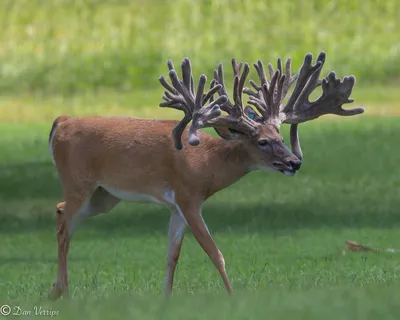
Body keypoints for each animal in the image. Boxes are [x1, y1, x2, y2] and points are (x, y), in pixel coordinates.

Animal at [46, 50, 362, 300]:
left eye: (281, 136)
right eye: (262, 141)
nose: (294, 162)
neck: (207, 164)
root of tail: (62, 121)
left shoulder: (177, 206)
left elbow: (172, 256)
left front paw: (166, 300)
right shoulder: (188, 197)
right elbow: (215, 253)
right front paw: (233, 297)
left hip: (105, 196)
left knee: (62, 213)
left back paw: (55, 290)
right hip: (78, 182)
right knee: (63, 219)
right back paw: (65, 292)